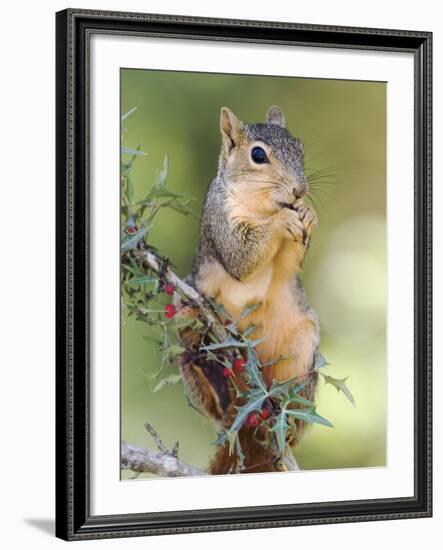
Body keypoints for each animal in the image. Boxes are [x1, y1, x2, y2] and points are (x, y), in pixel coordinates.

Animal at [176, 106, 320, 474]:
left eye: (301, 149)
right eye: (258, 155)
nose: (300, 190)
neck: (264, 205)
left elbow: (288, 266)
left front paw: (308, 213)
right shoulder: (220, 220)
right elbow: (242, 256)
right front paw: (282, 222)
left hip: (301, 347)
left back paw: (285, 419)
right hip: (185, 314)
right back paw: (217, 386)